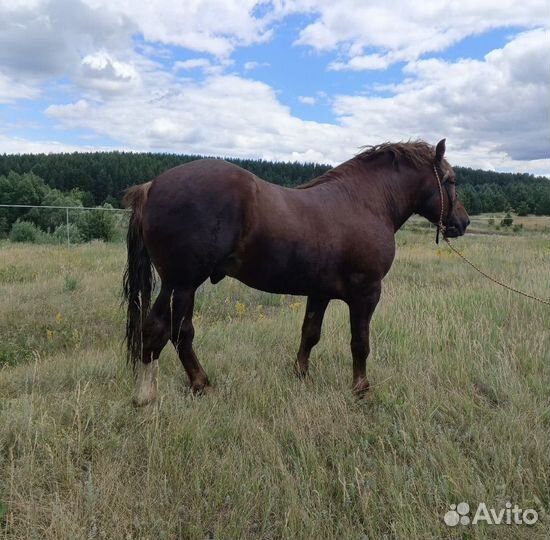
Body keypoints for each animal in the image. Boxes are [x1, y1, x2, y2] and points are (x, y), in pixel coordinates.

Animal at [124, 139, 470, 404]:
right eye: (451, 180)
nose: (462, 222)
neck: (366, 202)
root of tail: (151, 186)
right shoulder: (367, 292)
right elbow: (360, 342)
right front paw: (361, 390)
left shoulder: (319, 293)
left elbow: (310, 334)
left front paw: (300, 375)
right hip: (181, 284)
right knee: (164, 331)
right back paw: (157, 393)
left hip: (182, 286)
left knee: (173, 331)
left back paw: (187, 386)